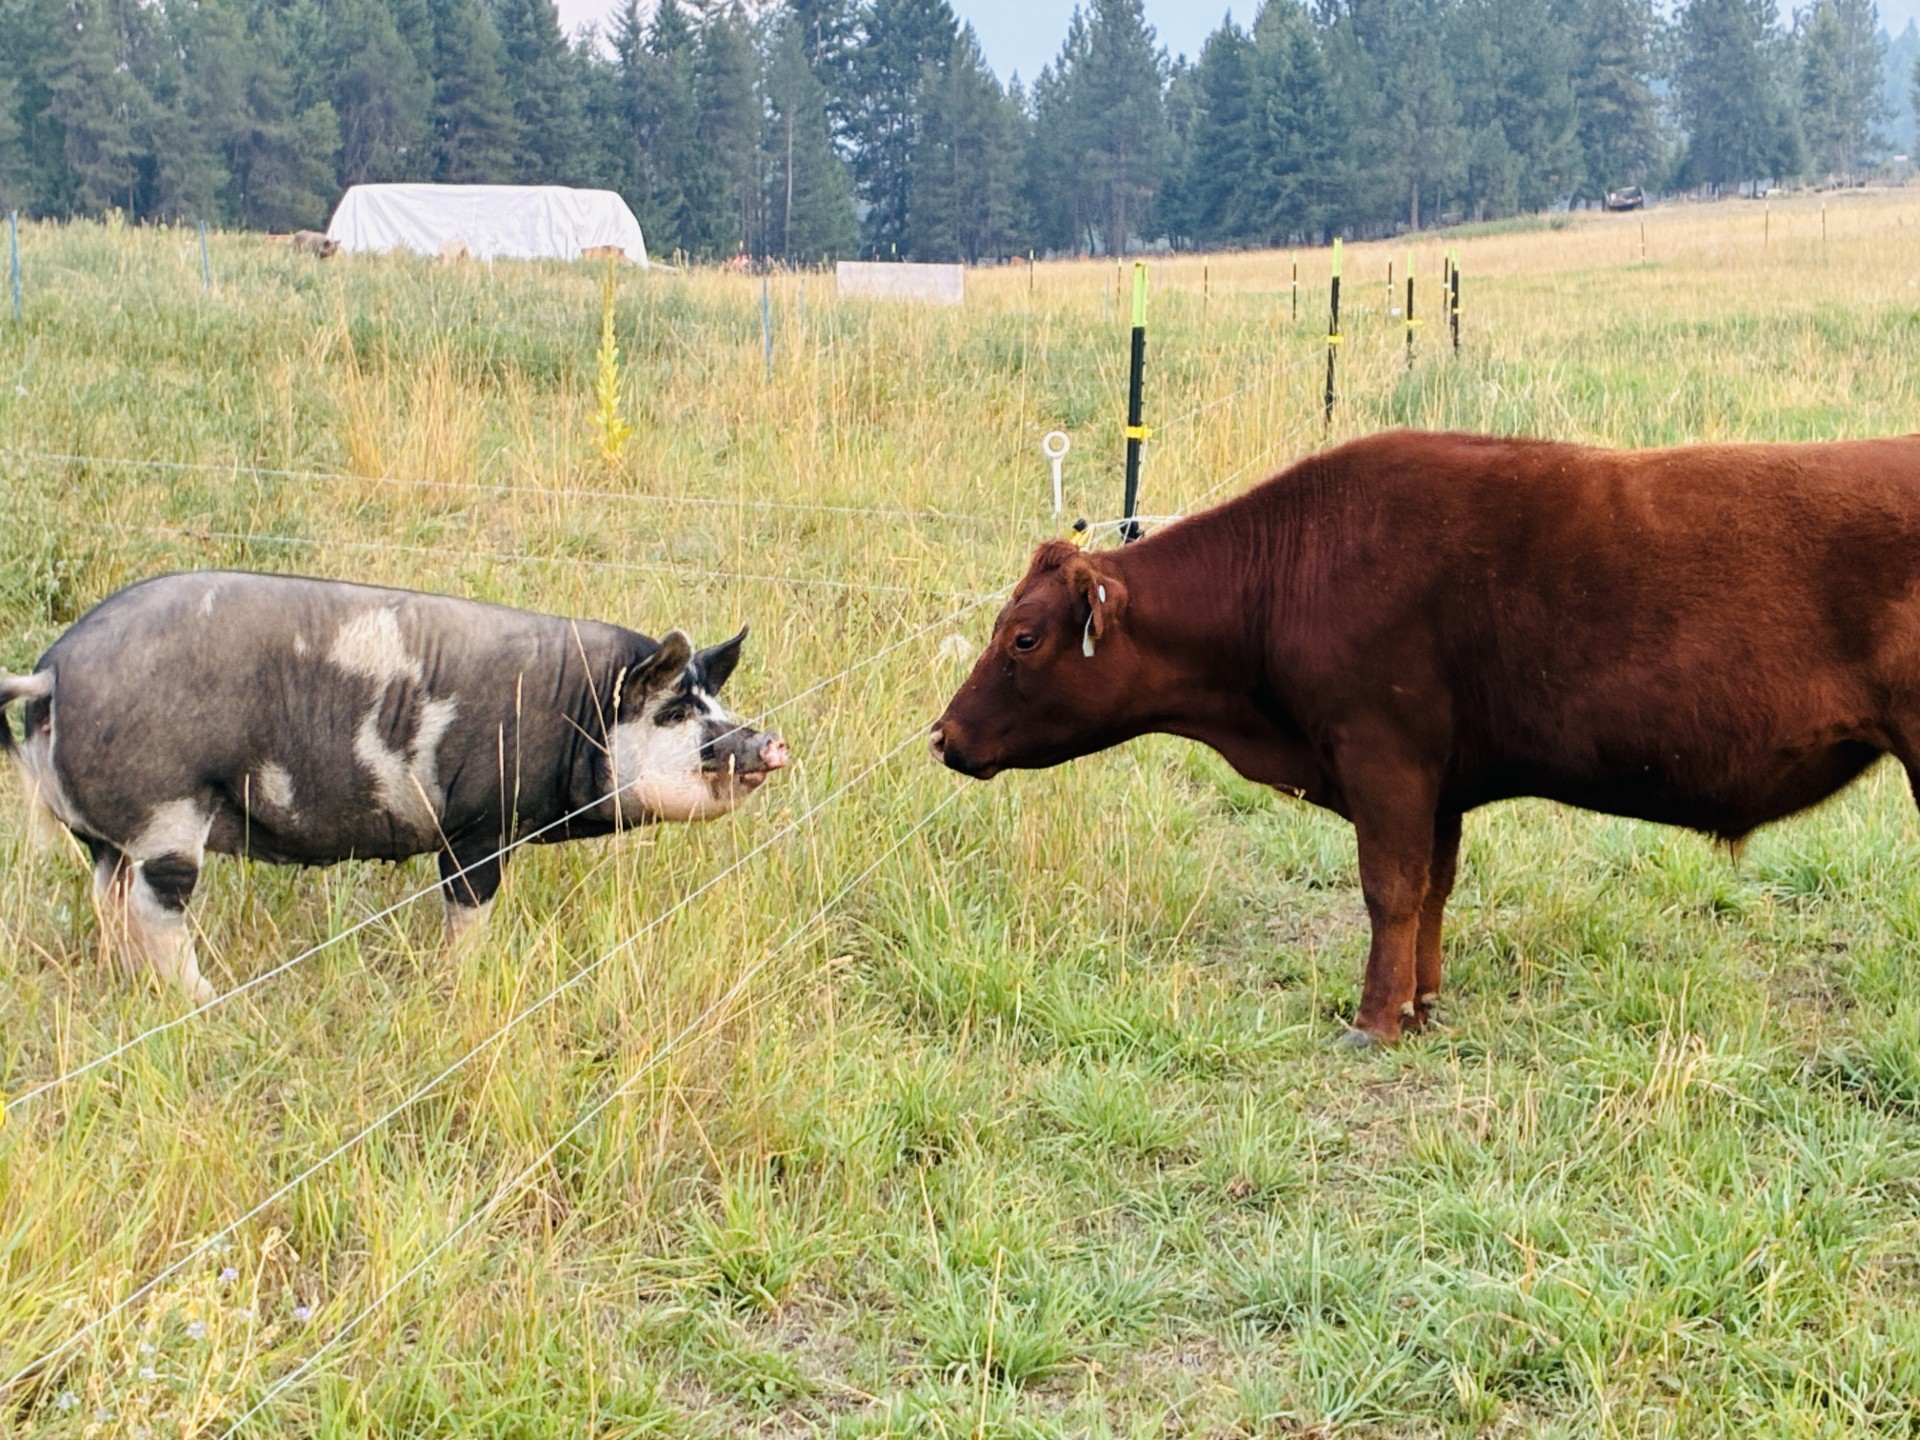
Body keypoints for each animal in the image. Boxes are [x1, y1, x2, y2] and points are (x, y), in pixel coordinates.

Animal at [0, 571, 790, 1003]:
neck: (579, 713)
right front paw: (465, 976)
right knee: (155, 908)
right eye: (677, 712)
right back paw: (209, 998)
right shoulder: (478, 823)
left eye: (716, 701)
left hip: (108, 835)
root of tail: (52, 670)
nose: (768, 740)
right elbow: (469, 906)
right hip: (168, 809)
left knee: (107, 897)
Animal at [931, 429, 1920, 1045]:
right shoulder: (1439, 779)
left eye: (1024, 638)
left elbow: (1389, 889)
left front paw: (1372, 1022)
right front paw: (1422, 1004)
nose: (942, 735)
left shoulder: (1385, 754)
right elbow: (1434, 890)